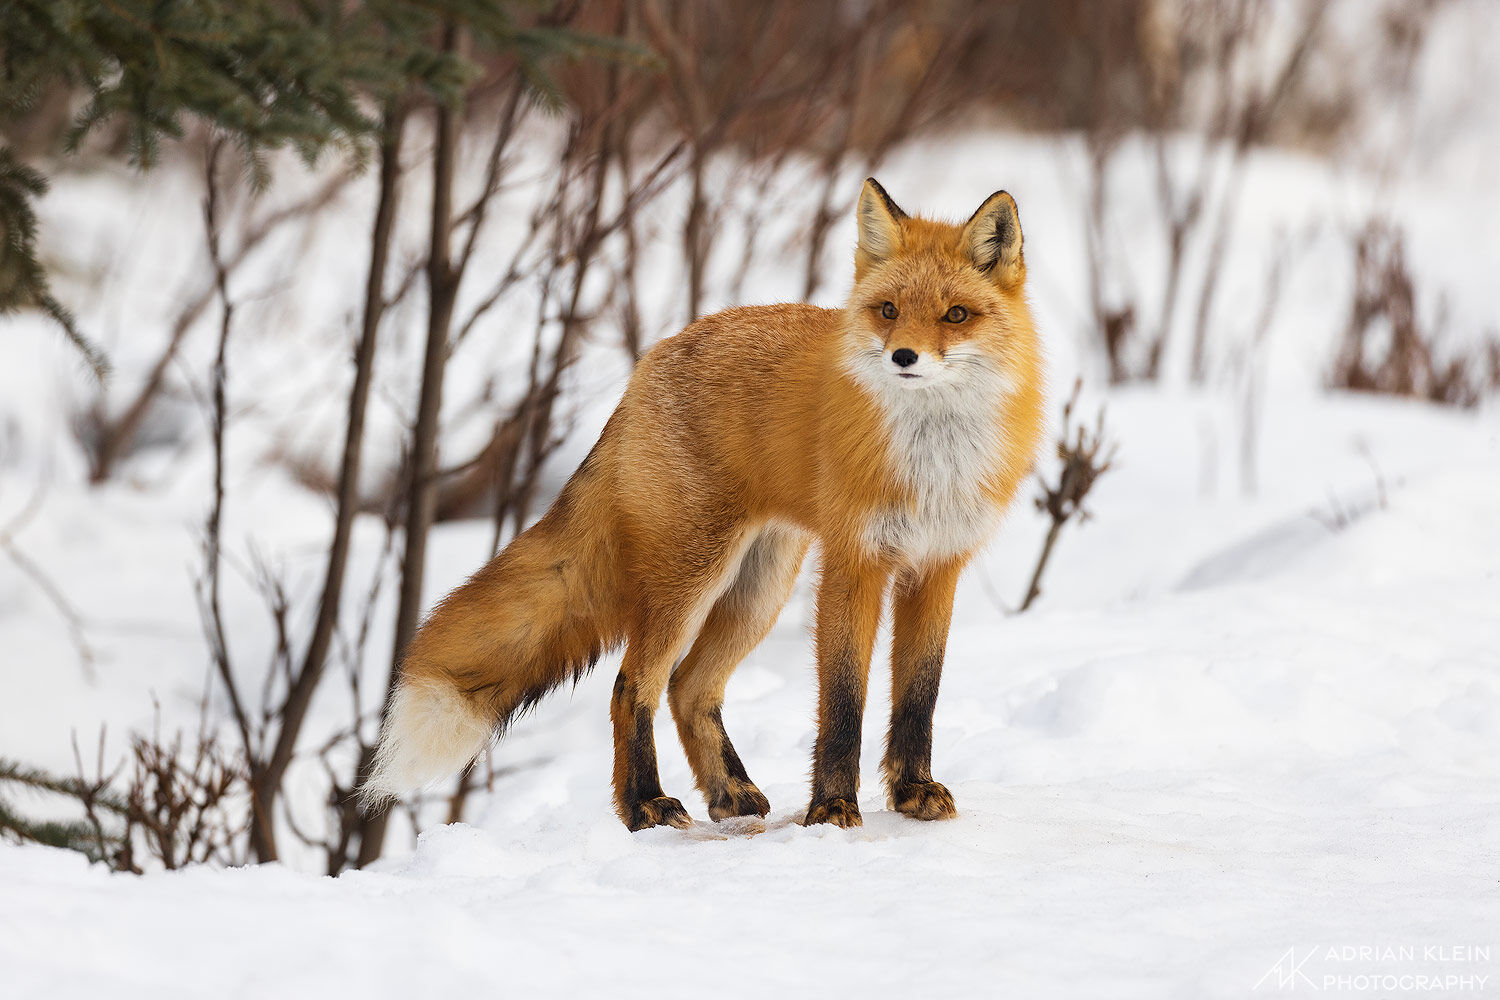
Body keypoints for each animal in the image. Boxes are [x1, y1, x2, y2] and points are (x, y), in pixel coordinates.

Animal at [363, 177, 1044, 827]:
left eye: (955, 314)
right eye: (888, 310)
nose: (904, 356)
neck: (932, 459)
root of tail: (652, 359)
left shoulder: (938, 564)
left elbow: (918, 697)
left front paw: (912, 792)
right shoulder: (856, 563)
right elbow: (844, 700)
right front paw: (831, 810)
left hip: (758, 588)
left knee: (689, 687)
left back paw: (729, 792)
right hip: (693, 574)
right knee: (633, 684)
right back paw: (644, 805)